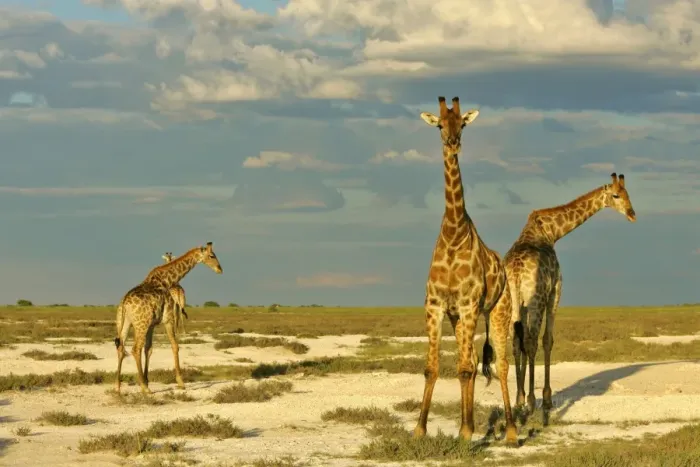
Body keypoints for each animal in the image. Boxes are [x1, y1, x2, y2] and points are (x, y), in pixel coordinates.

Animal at [114, 242, 223, 394]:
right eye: (212, 255)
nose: (220, 269)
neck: (167, 281)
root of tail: (124, 303)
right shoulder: (168, 319)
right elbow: (175, 346)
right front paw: (181, 382)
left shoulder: (152, 325)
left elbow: (149, 349)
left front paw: (147, 381)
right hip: (141, 324)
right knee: (135, 349)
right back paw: (144, 389)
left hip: (124, 323)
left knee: (121, 348)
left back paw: (118, 386)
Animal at [414, 96, 517, 444]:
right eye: (439, 126)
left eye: (463, 124)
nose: (453, 142)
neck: (453, 234)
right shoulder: (436, 306)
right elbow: (434, 368)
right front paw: (420, 429)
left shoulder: (471, 305)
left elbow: (465, 369)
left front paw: (467, 433)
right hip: (458, 318)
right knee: (471, 360)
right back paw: (466, 424)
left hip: (498, 312)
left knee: (502, 364)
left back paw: (511, 432)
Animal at [505, 173, 636, 414]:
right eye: (616, 195)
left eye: (627, 193)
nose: (632, 214)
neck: (552, 232)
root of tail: (516, 271)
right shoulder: (555, 291)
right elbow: (548, 340)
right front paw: (546, 397)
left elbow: (525, 343)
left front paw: (524, 397)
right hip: (536, 300)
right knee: (531, 340)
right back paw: (532, 401)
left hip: (513, 302)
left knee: (517, 341)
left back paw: (518, 400)